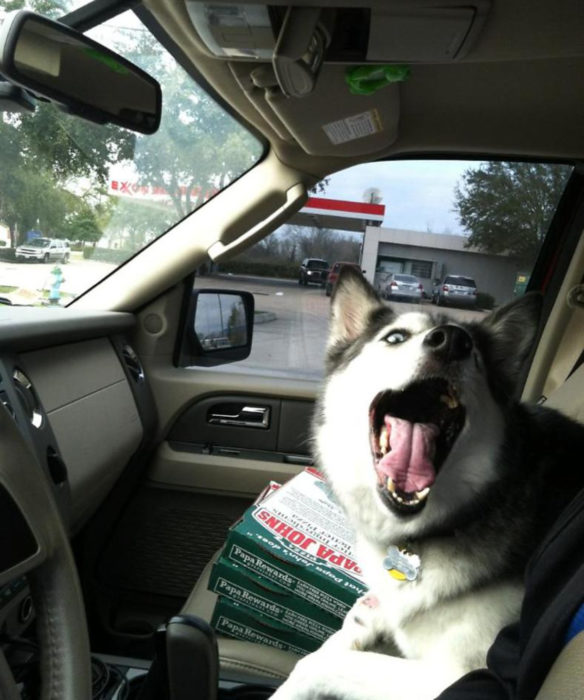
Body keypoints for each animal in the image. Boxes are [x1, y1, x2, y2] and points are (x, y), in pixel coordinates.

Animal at [274, 268, 584, 700]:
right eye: (395, 337)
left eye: (474, 352)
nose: (452, 340)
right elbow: (345, 633)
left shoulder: (458, 675)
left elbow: (317, 663)